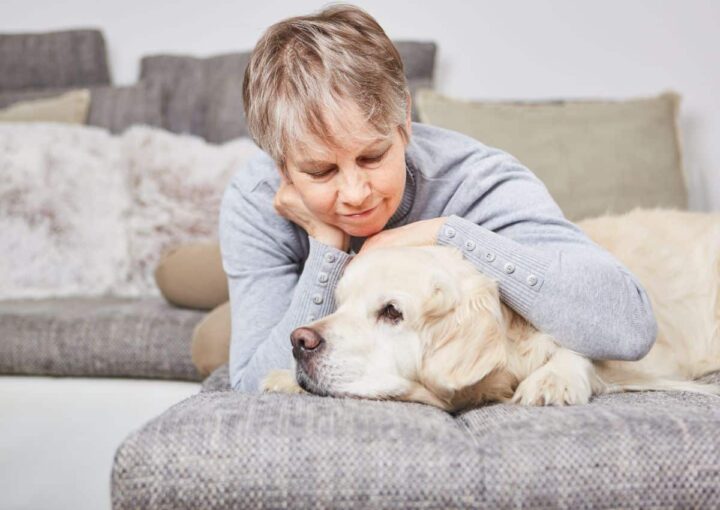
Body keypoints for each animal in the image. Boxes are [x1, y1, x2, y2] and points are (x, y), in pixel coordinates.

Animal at [262, 207, 720, 410]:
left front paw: (553, 379)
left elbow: (580, 351)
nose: (300, 342)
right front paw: (283, 378)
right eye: (341, 303)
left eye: (391, 311)